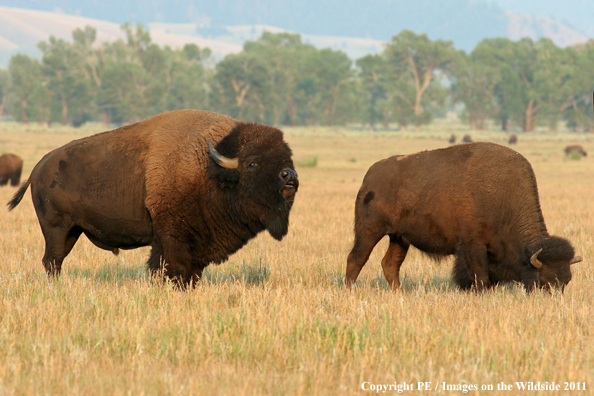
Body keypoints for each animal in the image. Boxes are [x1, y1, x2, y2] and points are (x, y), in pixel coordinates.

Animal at [7, 110, 298, 286]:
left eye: (287, 158)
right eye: (252, 164)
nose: (290, 176)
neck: (210, 169)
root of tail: (37, 169)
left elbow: (191, 271)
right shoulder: (170, 237)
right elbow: (168, 267)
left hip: (72, 231)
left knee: (55, 259)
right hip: (57, 229)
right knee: (52, 259)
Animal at [344, 142, 580, 290]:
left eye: (566, 281)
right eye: (543, 281)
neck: (503, 196)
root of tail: (370, 175)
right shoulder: (473, 244)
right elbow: (480, 276)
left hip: (399, 238)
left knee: (390, 264)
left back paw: (399, 293)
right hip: (369, 231)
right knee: (356, 258)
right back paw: (349, 290)